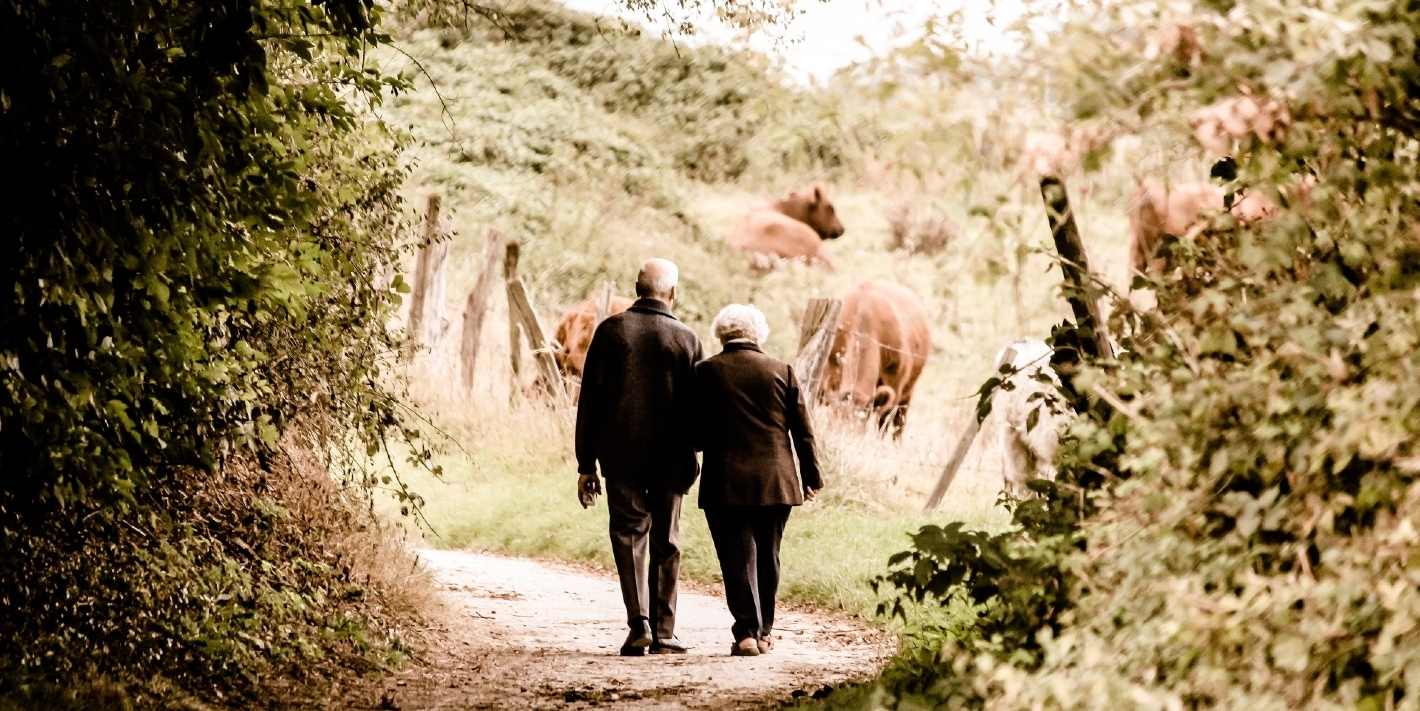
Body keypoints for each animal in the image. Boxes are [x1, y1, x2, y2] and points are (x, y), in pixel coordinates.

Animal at [823, 278, 931, 434]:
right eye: (839, 420)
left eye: (861, 422)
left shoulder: (894, 387)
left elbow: (883, 423)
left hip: (908, 393)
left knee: (899, 424)